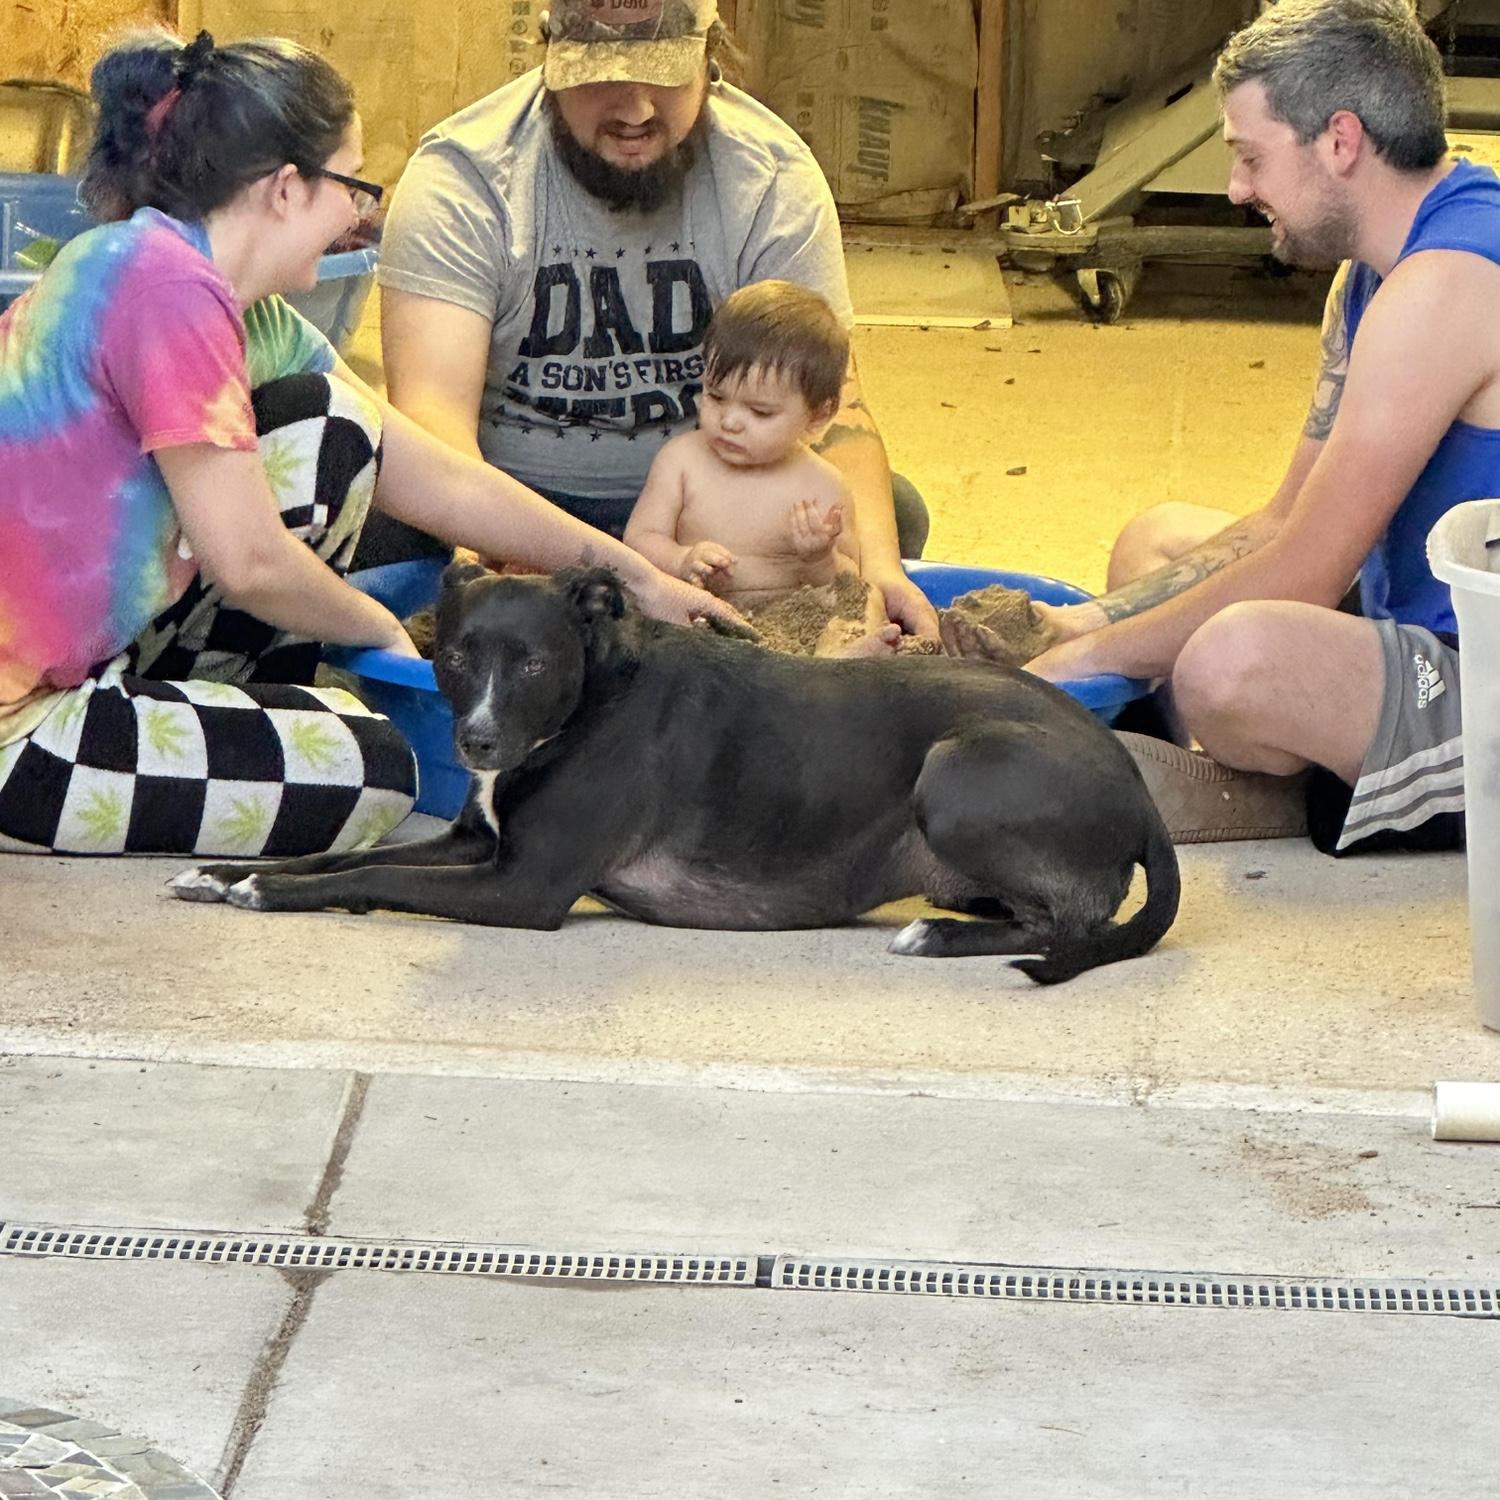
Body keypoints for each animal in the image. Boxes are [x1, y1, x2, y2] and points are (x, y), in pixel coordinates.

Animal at [173, 563, 1179, 984]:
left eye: (532, 662)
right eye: (455, 657)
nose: (478, 746)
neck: (587, 702)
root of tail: (1138, 788)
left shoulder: (522, 887)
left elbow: (373, 875)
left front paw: (265, 890)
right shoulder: (475, 840)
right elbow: (342, 860)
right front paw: (226, 872)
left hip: (958, 765)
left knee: (1070, 925)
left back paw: (935, 937)